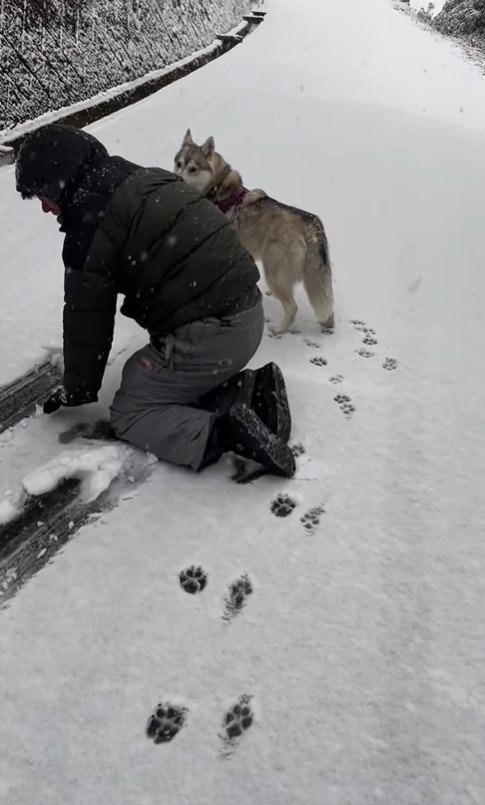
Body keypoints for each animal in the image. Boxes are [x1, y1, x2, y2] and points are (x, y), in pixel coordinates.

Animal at [172, 130, 334, 332]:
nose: (178, 178)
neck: (218, 189)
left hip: (273, 271)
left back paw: (279, 330)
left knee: (292, 307)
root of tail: (310, 222)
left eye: (193, 169)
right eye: (179, 164)